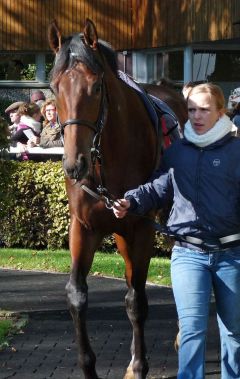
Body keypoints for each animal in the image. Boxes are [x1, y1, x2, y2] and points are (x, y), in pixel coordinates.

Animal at [48, 18, 188, 379]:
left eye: (96, 87)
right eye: (54, 87)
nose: (74, 164)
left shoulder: (141, 228)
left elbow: (136, 301)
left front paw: (139, 367)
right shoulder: (84, 227)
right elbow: (77, 295)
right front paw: (89, 367)